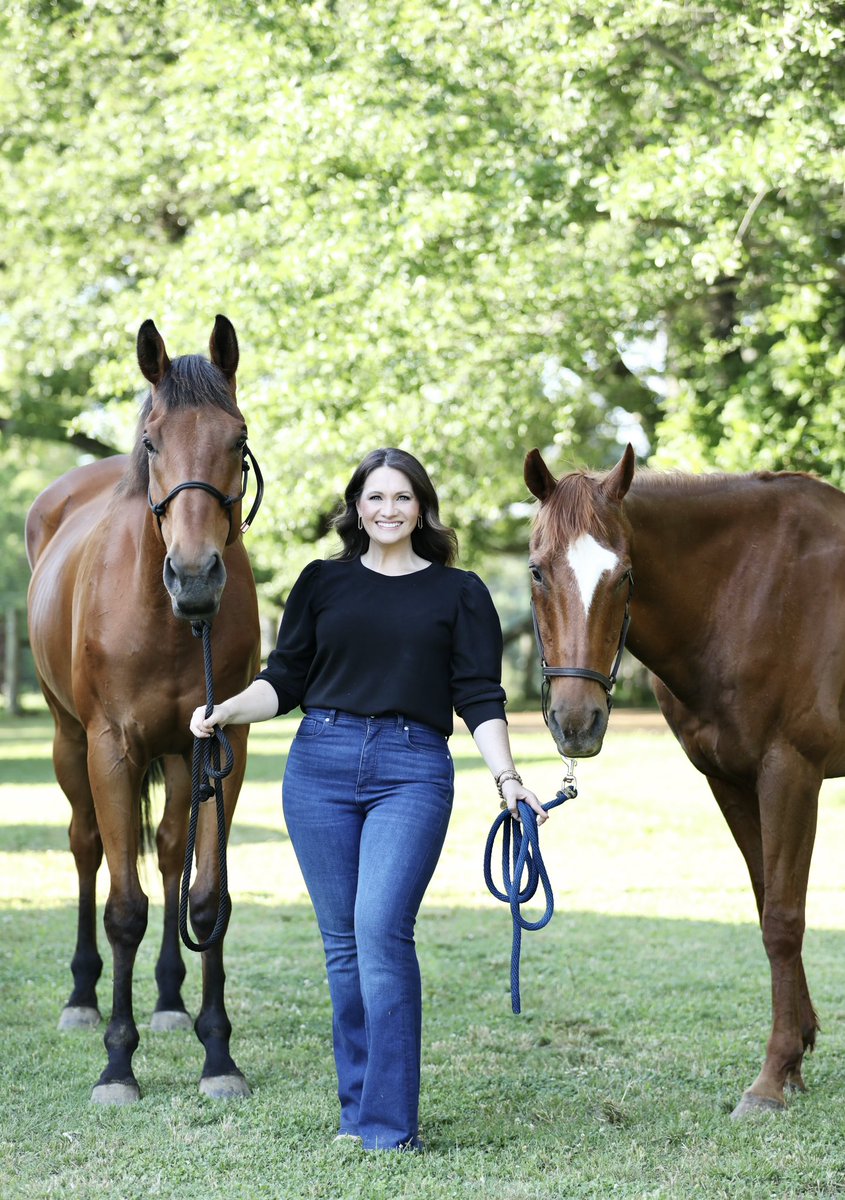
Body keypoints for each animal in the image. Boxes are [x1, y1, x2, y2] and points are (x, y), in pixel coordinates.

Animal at [26, 315, 261, 1105]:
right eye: (153, 441)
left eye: (237, 437)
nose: (194, 577)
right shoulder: (112, 747)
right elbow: (123, 909)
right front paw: (116, 1064)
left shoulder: (223, 747)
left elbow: (207, 899)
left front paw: (217, 1055)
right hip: (70, 745)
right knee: (88, 848)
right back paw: (81, 998)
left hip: (180, 759)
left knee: (165, 851)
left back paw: (166, 1001)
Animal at [524, 443, 845, 1118]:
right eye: (538, 571)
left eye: (624, 575)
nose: (576, 721)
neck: (750, 587)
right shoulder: (729, 779)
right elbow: (766, 902)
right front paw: (796, 1054)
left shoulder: (790, 771)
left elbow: (784, 919)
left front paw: (771, 1077)